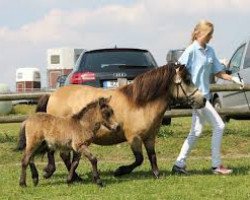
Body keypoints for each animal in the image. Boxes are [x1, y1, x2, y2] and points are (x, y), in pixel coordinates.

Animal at [36, 63, 206, 180]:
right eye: (187, 80)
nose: (203, 100)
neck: (140, 104)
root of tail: (52, 95)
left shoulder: (150, 137)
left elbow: (152, 156)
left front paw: (157, 174)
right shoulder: (133, 137)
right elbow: (139, 159)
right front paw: (120, 171)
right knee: (59, 154)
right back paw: (59, 174)